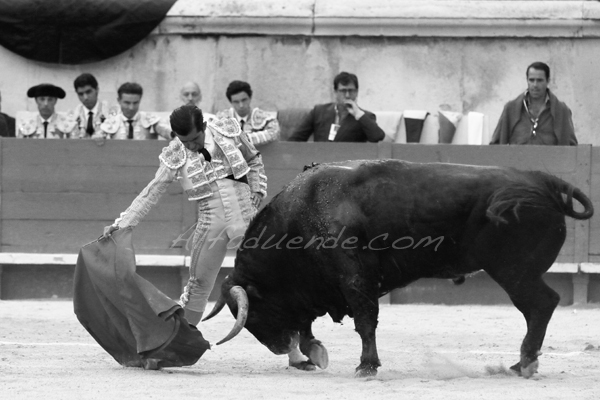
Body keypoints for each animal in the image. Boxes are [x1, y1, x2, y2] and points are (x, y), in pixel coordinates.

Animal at [204, 159, 592, 378]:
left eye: (254, 313)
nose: (278, 349)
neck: (303, 213)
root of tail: (545, 182)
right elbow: (309, 323)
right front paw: (313, 354)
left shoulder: (355, 280)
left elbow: (365, 322)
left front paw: (366, 366)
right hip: (518, 273)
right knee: (538, 307)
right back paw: (522, 363)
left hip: (514, 271)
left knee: (541, 304)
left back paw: (524, 364)